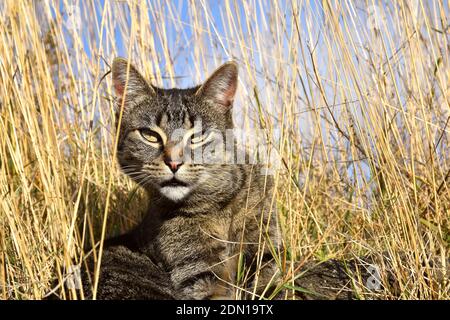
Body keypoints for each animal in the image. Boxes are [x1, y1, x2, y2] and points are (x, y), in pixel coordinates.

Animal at [85, 58, 280, 300]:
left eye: (197, 136)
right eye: (150, 135)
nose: (174, 163)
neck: (216, 205)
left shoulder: (264, 249)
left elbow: (269, 284)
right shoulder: (198, 273)